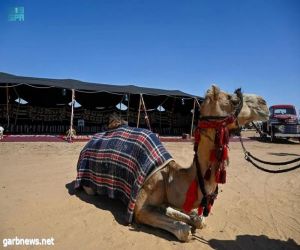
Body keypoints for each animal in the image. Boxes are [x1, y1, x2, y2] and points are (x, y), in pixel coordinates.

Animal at [75, 85, 270, 240]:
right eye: (233, 99)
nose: (264, 103)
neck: (170, 176)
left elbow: (196, 219)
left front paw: (194, 219)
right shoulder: (139, 207)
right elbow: (183, 230)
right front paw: (187, 227)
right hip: (88, 181)